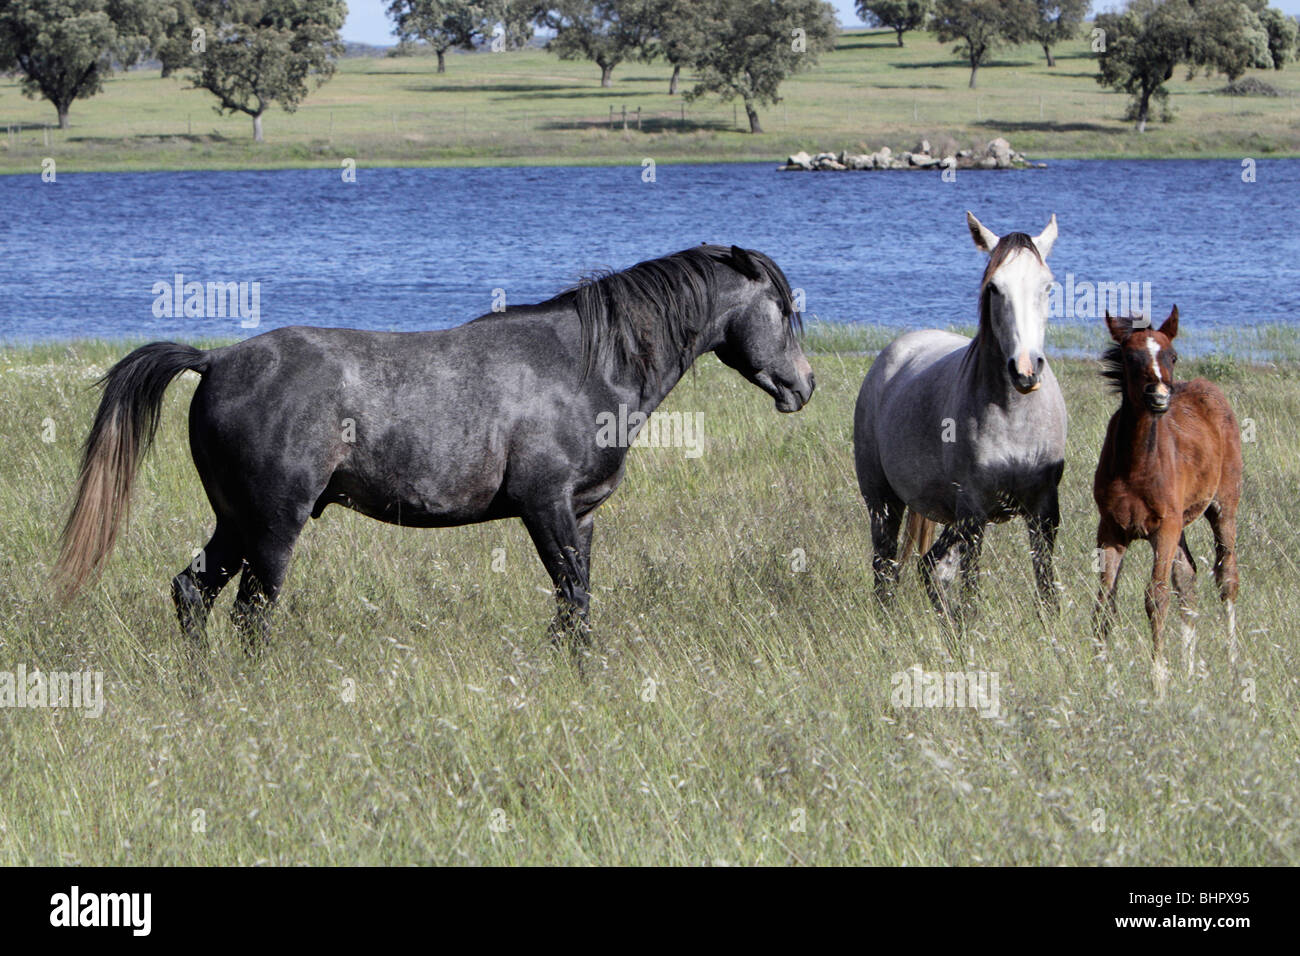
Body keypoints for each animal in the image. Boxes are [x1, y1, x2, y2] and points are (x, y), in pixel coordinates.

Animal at [61, 243, 816, 655]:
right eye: (783, 309)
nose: (805, 385)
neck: (586, 366)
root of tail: (215, 360)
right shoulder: (546, 508)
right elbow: (572, 596)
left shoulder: (582, 515)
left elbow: (574, 604)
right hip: (273, 524)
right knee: (251, 612)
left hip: (235, 521)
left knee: (192, 592)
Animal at [852, 210, 1066, 621]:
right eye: (994, 288)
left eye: (1048, 287)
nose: (1025, 370)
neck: (1014, 418)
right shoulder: (973, 515)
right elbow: (972, 597)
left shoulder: (1043, 510)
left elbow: (1047, 592)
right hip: (884, 503)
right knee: (886, 572)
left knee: (930, 568)